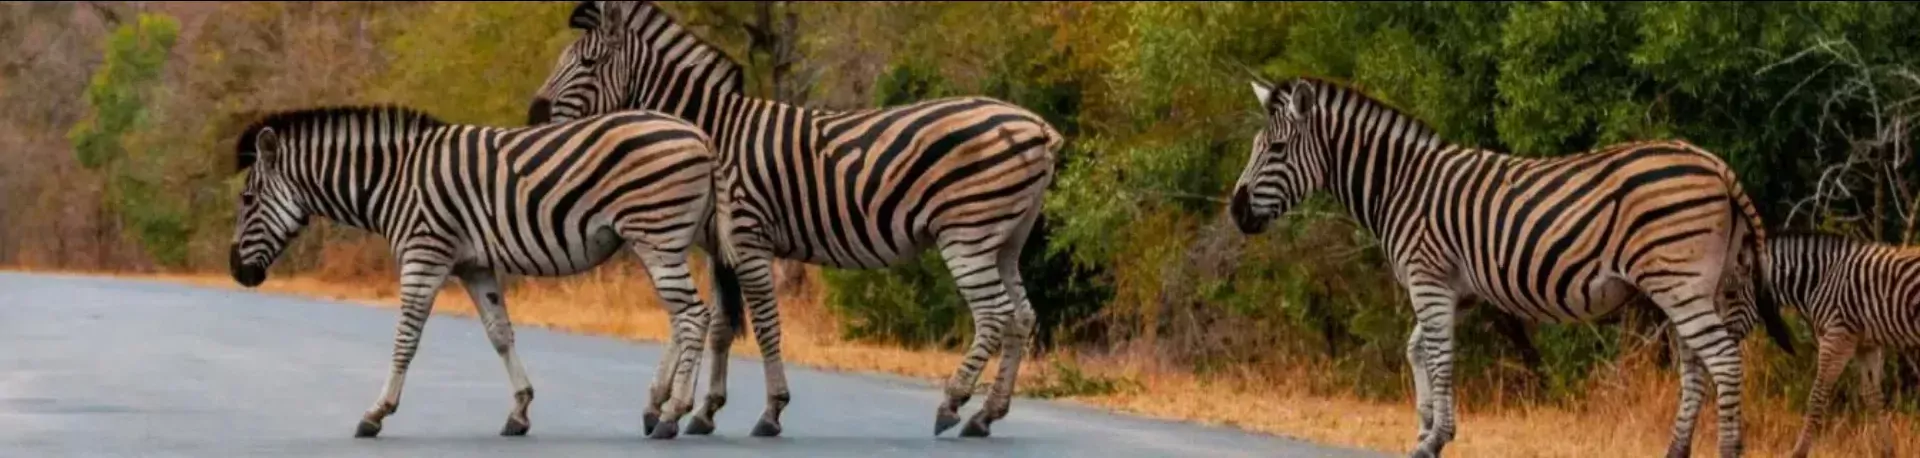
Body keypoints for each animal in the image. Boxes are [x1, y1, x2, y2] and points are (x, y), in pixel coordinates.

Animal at [226, 104, 720, 440]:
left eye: (247, 200)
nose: (235, 271)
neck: (394, 181)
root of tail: (698, 134)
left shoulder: (424, 255)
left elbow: (405, 339)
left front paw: (376, 412)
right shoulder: (475, 266)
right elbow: (500, 334)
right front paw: (520, 411)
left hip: (657, 235)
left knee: (693, 316)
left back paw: (673, 413)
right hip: (666, 239)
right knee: (685, 317)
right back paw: (660, 408)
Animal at [527, 0, 1065, 439]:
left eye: (587, 63)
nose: (533, 117)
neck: (712, 133)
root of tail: (1037, 126)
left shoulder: (747, 235)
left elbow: (763, 324)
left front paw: (770, 411)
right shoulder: (719, 245)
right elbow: (721, 325)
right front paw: (704, 411)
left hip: (967, 235)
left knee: (994, 314)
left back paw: (953, 404)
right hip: (1006, 240)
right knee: (1021, 316)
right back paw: (986, 415)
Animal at [1227, 76, 1795, 458]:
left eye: (1276, 148)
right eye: (1256, 147)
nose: (1235, 211)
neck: (1402, 186)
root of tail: (1710, 160)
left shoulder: (1429, 280)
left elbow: (1440, 357)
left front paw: (1435, 439)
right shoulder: (1455, 290)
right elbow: (1418, 351)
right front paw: (1424, 427)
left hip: (1680, 284)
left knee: (1723, 360)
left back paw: (1727, 450)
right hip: (1696, 286)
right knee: (1697, 365)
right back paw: (1676, 452)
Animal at [1754, 231, 1915, 458]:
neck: (1819, 281)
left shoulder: (1837, 339)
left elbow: (1817, 395)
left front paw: (1798, 451)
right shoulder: (1866, 345)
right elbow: (1873, 396)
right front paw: (1888, 451)